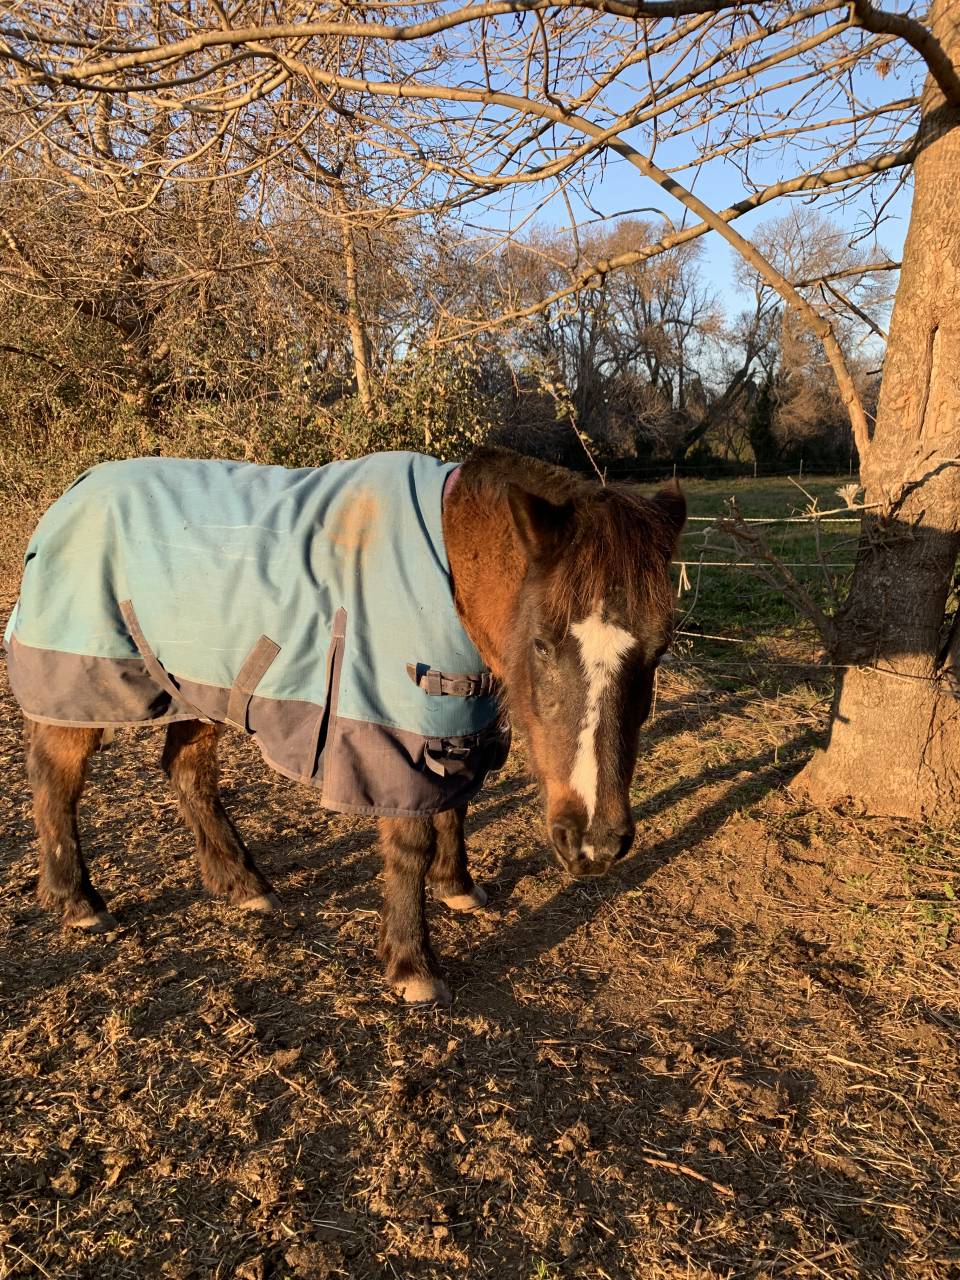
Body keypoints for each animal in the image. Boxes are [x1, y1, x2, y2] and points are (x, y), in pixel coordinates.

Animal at [4, 447, 685, 1005]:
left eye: (658, 651)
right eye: (542, 644)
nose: (595, 844)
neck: (446, 568)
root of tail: (74, 492)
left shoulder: (453, 715)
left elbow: (453, 805)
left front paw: (457, 886)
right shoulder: (391, 728)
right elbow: (409, 839)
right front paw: (412, 965)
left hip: (201, 686)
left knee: (187, 772)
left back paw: (240, 883)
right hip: (89, 685)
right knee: (56, 777)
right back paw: (75, 900)